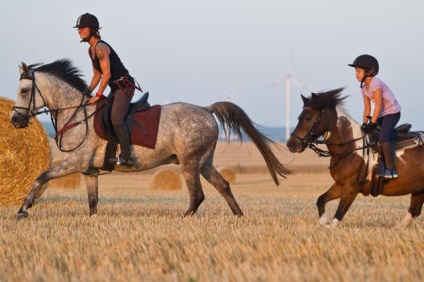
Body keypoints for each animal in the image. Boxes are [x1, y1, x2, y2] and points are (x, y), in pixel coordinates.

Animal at [9, 58, 290, 219]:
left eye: (24, 90)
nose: (14, 121)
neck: (78, 114)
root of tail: (206, 109)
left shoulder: (76, 162)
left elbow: (41, 176)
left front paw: (22, 209)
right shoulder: (89, 171)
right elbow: (92, 203)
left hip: (189, 162)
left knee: (197, 195)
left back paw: (184, 218)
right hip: (205, 162)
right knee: (224, 186)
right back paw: (239, 217)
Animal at [286, 89, 422, 228]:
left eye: (308, 117)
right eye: (299, 117)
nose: (291, 144)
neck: (349, 148)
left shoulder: (351, 187)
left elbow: (338, 216)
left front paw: (328, 225)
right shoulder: (340, 184)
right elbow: (321, 200)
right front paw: (324, 222)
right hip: (418, 190)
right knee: (414, 211)